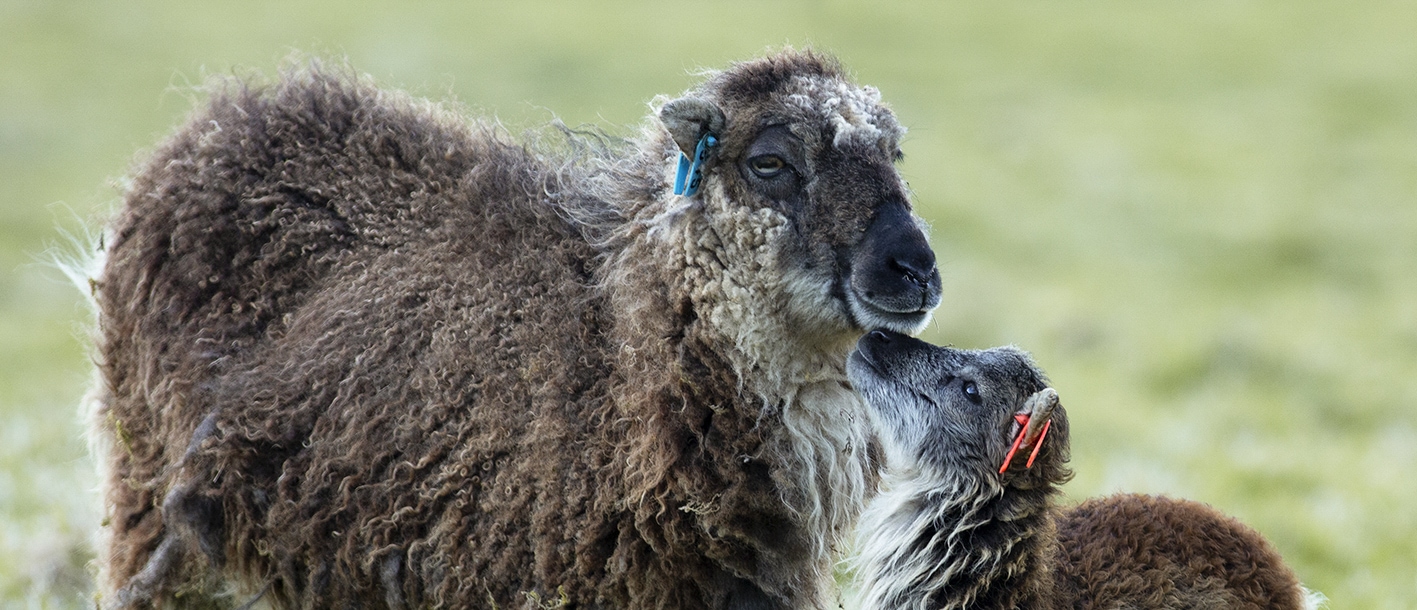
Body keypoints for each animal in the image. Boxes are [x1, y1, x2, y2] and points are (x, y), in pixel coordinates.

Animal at [94, 48, 946, 610]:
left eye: (895, 154)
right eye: (770, 162)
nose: (913, 269)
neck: (617, 362)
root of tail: (219, 123)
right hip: (155, 508)